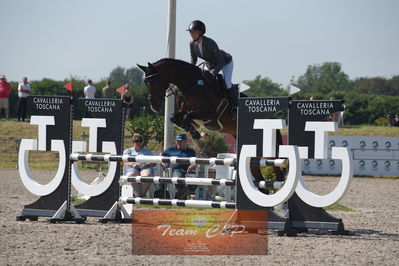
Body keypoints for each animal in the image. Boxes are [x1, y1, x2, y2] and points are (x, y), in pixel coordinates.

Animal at [138, 58, 288, 183]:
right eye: (145, 82)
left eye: (156, 81)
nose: (155, 107)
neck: (191, 84)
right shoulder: (184, 110)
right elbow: (175, 118)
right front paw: (198, 134)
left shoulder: (210, 113)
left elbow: (187, 117)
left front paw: (199, 134)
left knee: (275, 164)